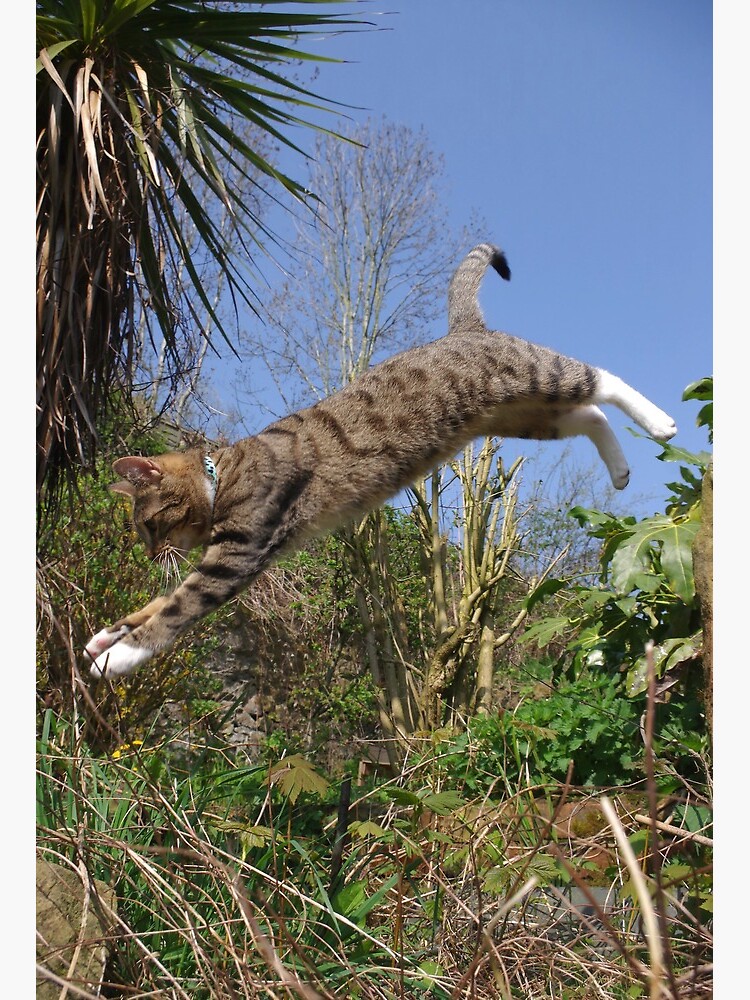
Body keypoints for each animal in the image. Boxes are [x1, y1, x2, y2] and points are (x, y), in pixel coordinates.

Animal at [85, 243, 680, 680]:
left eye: (147, 524)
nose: (148, 551)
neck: (221, 473)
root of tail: (465, 329)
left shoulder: (239, 551)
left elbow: (179, 606)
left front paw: (119, 655)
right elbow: (158, 602)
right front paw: (106, 635)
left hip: (529, 376)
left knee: (599, 378)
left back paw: (661, 424)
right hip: (521, 416)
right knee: (587, 415)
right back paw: (621, 471)